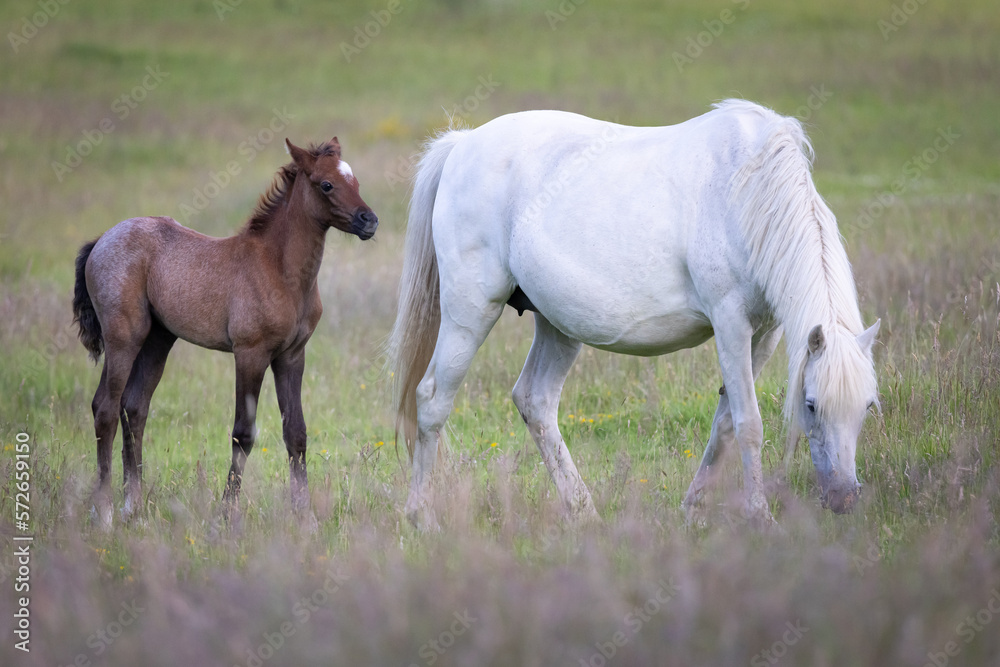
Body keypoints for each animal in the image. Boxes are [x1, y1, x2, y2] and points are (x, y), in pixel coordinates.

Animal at [73, 138, 378, 528]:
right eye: (326, 184)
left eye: (355, 180)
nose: (369, 221)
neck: (279, 270)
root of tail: (101, 240)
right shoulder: (250, 353)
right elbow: (243, 434)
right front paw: (224, 516)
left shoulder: (292, 355)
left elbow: (296, 432)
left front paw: (305, 517)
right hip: (123, 338)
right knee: (106, 409)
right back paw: (105, 513)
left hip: (158, 339)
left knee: (135, 407)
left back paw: (134, 508)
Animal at [388, 99, 876, 528]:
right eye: (811, 405)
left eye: (868, 406)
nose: (843, 499)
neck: (748, 190)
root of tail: (463, 145)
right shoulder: (730, 323)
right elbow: (748, 423)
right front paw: (760, 516)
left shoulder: (765, 333)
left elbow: (725, 422)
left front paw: (694, 509)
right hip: (469, 314)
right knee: (432, 401)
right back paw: (421, 517)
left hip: (559, 327)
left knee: (535, 402)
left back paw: (583, 512)